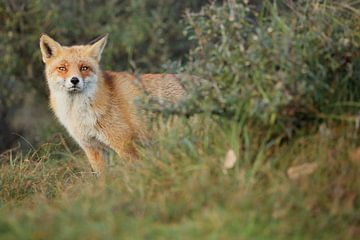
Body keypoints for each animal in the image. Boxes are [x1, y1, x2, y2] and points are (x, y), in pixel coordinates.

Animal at [39, 33, 186, 173]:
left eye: (84, 68)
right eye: (62, 68)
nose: (74, 80)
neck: (80, 114)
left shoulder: (124, 144)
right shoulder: (93, 148)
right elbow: (103, 178)